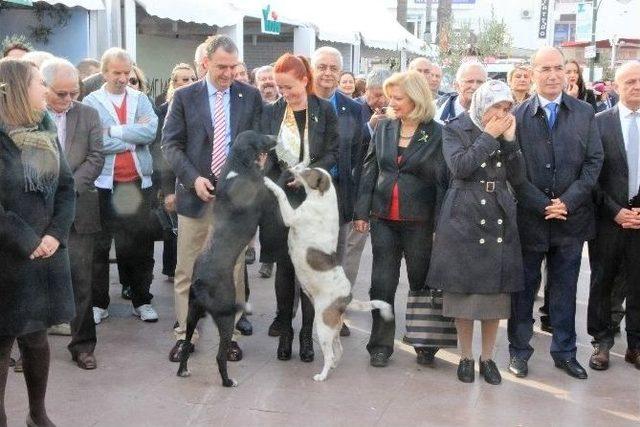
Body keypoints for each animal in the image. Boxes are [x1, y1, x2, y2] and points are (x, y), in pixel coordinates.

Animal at [178, 130, 276, 388]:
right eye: (261, 136)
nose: (275, 137)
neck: (236, 166)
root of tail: (201, 284)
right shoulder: (263, 194)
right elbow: (269, 179)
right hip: (226, 316)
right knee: (219, 356)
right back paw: (227, 381)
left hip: (192, 314)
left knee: (187, 345)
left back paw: (183, 370)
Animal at [262, 164, 392, 382]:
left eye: (307, 171)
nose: (292, 167)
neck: (321, 197)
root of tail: (346, 298)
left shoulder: (290, 216)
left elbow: (281, 193)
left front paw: (269, 182)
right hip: (333, 329)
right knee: (338, 351)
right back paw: (332, 367)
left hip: (322, 325)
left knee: (330, 354)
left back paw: (322, 375)